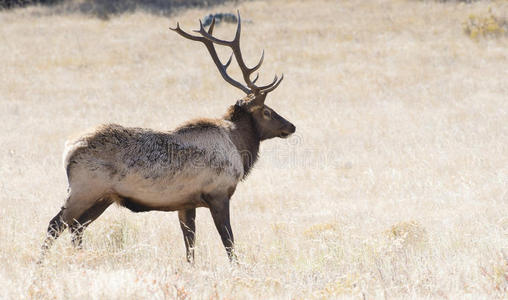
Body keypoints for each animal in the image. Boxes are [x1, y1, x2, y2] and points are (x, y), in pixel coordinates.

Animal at [41, 11, 296, 262]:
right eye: (267, 111)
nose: (291, 126)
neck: (237, 146)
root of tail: (67, 150)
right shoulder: (218, 193)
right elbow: (229, 243)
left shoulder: (186, 203)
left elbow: (190, 246)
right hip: (84, 189)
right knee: (56, 224)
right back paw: (40, 264)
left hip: (104, 197)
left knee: (77, 227)